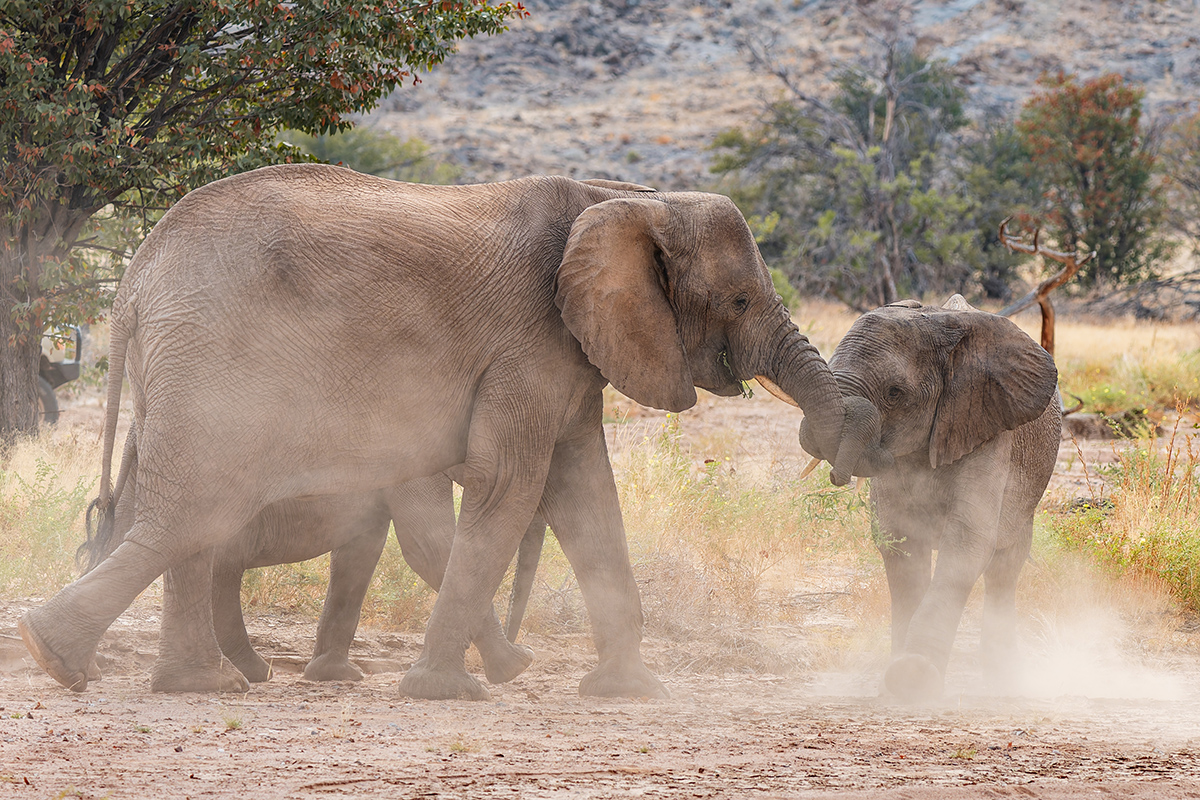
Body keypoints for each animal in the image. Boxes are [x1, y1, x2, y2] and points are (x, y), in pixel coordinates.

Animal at [79, 424, 547, 684]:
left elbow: (362, 550)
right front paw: (518, 665)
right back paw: (253, 673)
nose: (521, 641)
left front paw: (334, 676)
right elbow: (429, 547)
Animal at [802, 295, 1061, 702]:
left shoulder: (988, 429)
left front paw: (914, 676)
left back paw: (1004, 681)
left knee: (1005, 567)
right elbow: (900, 544)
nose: (837, 475)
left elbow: (967, 542)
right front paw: (896, 681)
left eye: (895, 393)